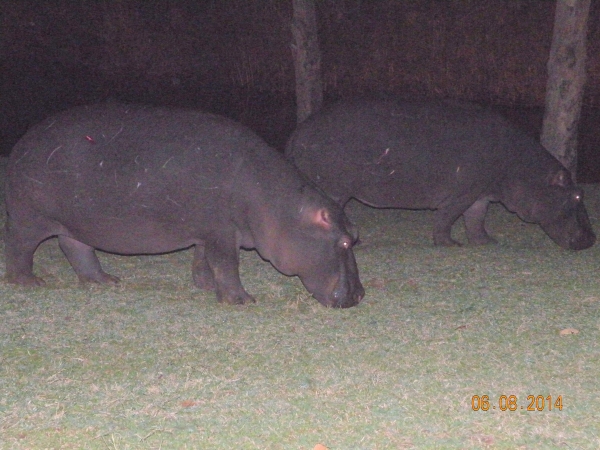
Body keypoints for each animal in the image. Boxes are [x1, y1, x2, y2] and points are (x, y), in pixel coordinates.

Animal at [4, 103, 366, 308]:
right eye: (345, 242)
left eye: (356, 235)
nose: (361, 295)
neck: (280, 206)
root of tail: (23, 142)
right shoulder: (222, 232)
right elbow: (226, 264)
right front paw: (242, 301)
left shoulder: (211, 231)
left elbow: (203, 260)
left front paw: (205, 287)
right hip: (29, 218)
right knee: (19, 247)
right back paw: (29, 282)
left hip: (75, 223)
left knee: (76, 248)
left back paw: (105, 281)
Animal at [286, 98, 596, 250]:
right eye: (577, 195)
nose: (592, 240)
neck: (523, 168)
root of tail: (298, 131)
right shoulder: (462, 194)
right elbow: (447, 218)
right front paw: (449, 245)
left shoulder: (480, 194)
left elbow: (476, 220)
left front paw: (487, 243)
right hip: (333, 189)